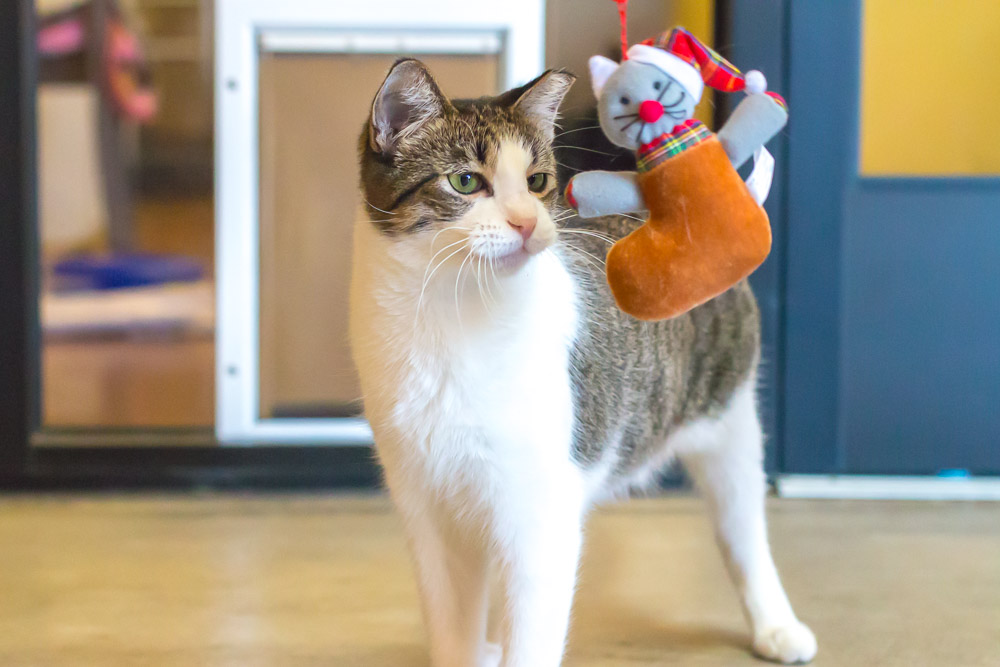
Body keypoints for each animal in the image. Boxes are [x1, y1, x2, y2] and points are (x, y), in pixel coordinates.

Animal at [349, 58, 817, 667]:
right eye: (465, 182)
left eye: (537, 182)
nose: (527, 223)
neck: (448, 316)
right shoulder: (428, 507)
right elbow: (454, 628)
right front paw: (473, 648)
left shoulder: (539, 511)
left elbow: (533, 637)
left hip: (729, 421)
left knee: (744, 532)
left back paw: (776, 625)